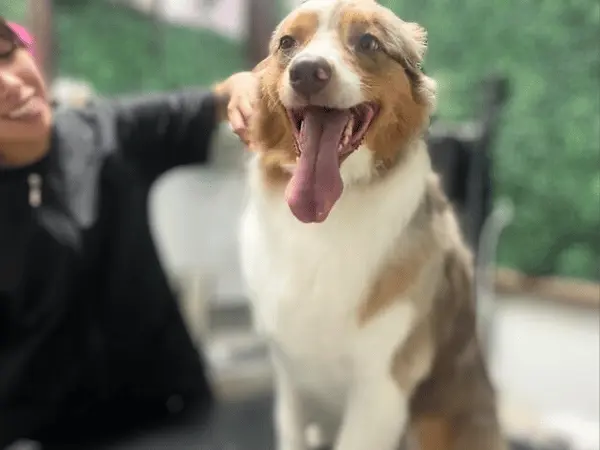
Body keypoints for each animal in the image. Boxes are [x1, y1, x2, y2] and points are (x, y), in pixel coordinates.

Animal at [239, 0, 506, 446]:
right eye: (288, 43)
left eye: (368, 42)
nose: (307, 72)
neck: (327, 222)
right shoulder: (290, 381)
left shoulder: (381, 391)